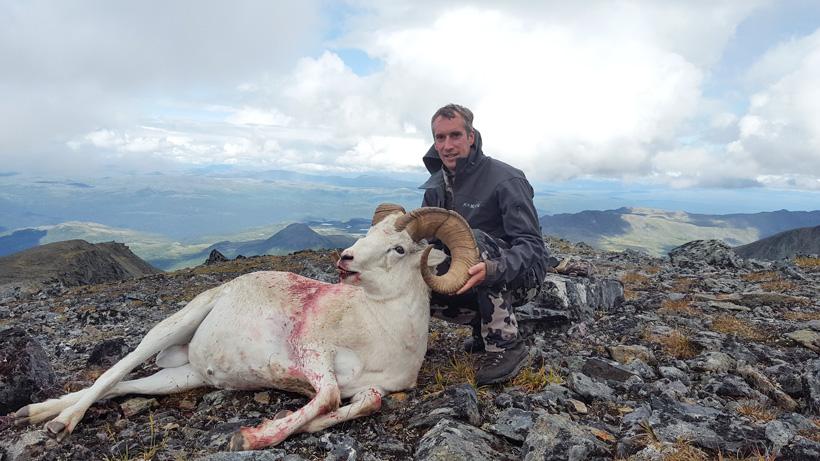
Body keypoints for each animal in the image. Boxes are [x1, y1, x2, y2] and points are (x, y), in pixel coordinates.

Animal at [13, 204, 479, 451]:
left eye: (398, 248)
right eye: (368, 233)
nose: (345, 258)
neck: (384, 332)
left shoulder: (372, 387)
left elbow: (366, 402)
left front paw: (297, 426)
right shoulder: (312, 355)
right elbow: (327, 394)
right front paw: (250, 439)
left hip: (182, 378)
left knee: (123, 387)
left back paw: (32, 413)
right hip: (170, 329)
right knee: (114, 372)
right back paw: (58, 423)